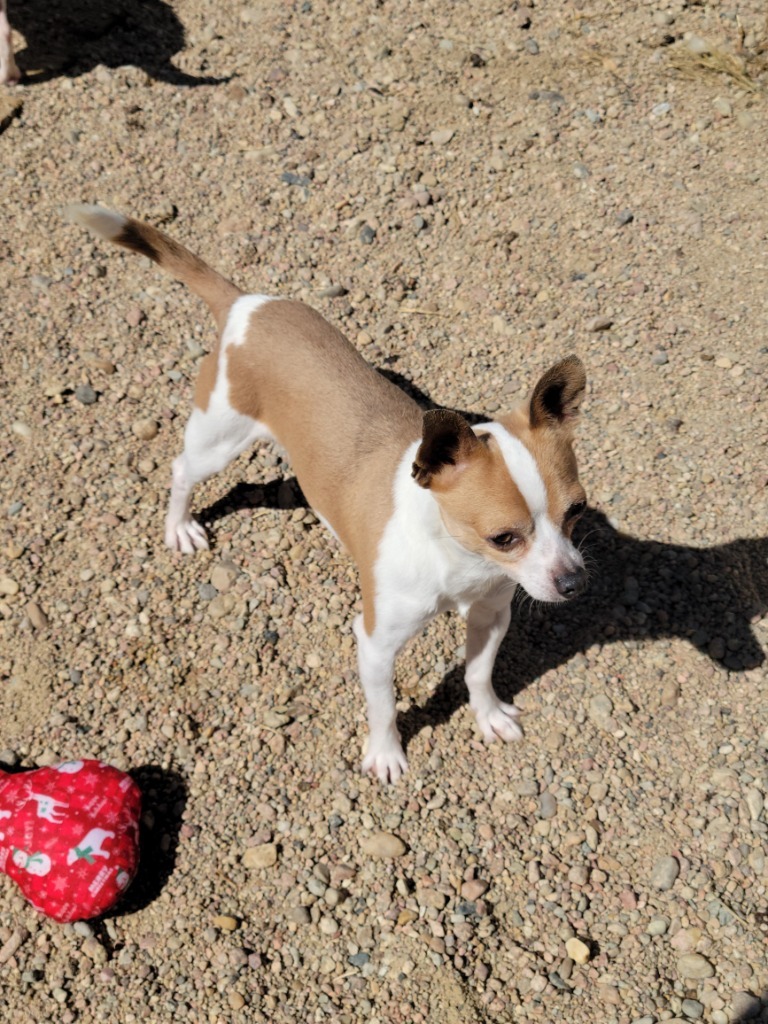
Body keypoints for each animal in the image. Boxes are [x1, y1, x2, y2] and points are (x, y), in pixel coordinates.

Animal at [69, 205, 593, 782]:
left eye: (578, 510)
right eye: (504, 537)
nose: (574, 583)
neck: (458, 559)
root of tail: (244, 302)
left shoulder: (491, 616)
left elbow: (478, 674)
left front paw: (490, 716)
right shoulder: (376, 643)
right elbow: (384, 705)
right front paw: (386, 755)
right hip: (218, 439)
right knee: (182, 468)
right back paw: (179, 527)